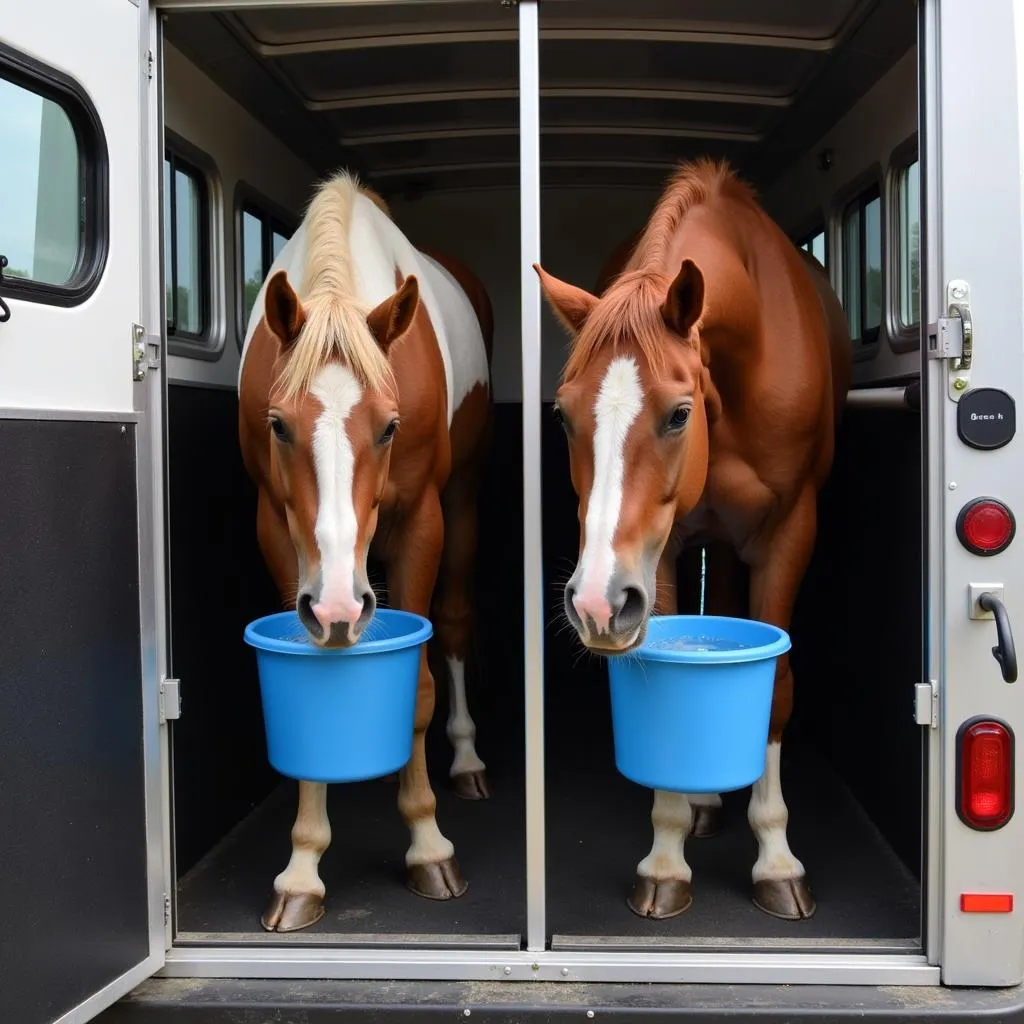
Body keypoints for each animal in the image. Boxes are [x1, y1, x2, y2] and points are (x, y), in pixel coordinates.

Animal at [240, 172, 495, 933]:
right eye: (278, 425)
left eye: (388, 427)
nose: (338, 607)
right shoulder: (276, 529)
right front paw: (301, 866)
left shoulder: (423, 523)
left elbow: (419, 689)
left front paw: (428, 844)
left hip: (463, 501)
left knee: (456, 625)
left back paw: (466, 760)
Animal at [536, 157, 847, 921]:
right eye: (563, 416)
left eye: (679, 415)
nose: (594, 602)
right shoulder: (663, 551)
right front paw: (668, 855)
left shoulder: (789, 532)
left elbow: (778, 686)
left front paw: (776, 858)